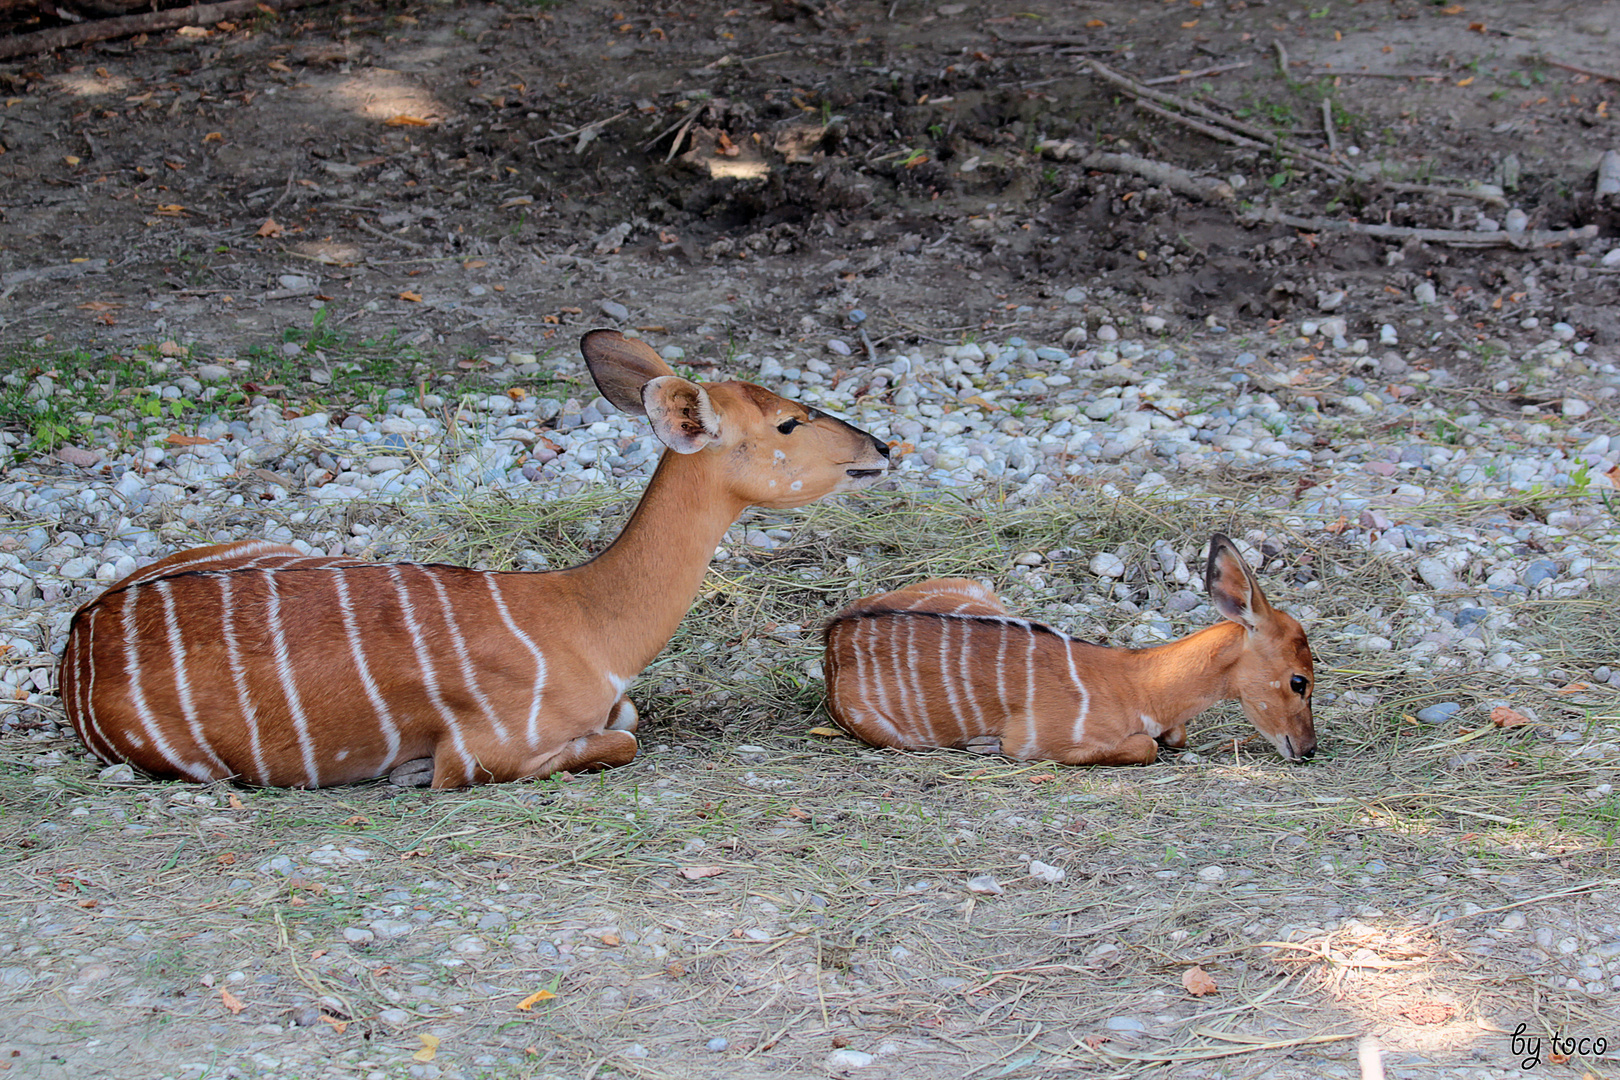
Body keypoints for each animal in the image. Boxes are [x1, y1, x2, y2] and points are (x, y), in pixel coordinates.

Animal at [63, 325, 894, 790]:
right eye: (788, 423)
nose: (881, 448)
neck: (588, 625)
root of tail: (77, 639)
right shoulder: (486, 753)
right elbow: (621, 737)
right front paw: (407, 771)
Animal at [822, 537, 1315, 764]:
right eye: (1300, 681)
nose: (1308, 749)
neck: (1137, 686)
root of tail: (834, 634)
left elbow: (1174, 736)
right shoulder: (1041, 743)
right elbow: (1146, 746)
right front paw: (987, 745)